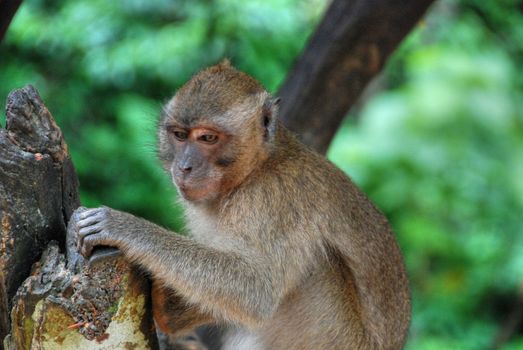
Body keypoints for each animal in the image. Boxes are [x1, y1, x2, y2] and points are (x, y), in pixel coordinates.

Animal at [69, 60, 412, 350]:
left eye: (207, 138)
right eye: (179, 135)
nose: (184, 167)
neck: (254, 170)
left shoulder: (274, 199)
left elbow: (256, 290)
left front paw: (124, 227)